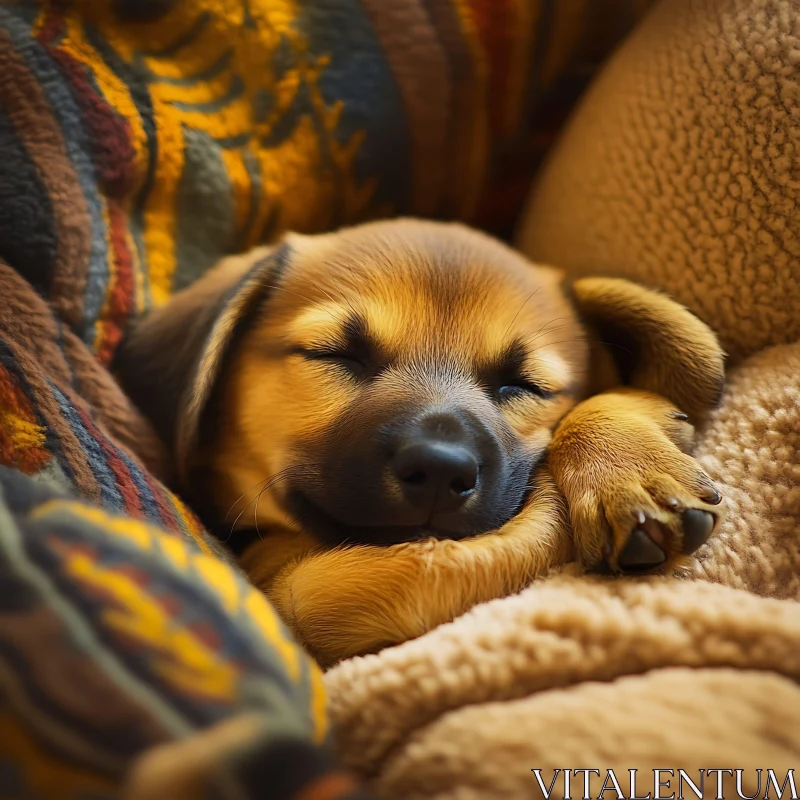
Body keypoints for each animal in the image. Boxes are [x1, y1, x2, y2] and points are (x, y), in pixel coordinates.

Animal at [117, 217, 724, 664]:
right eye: (337, 355)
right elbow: (432, 566)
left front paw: (627, 463)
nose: (440, 469)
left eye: (523, 384)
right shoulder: (299, 588)